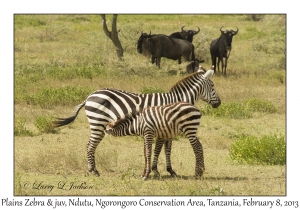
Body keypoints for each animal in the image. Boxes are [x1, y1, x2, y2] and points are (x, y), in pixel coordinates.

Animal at [52, 68, 220, 176]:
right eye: (212, 86)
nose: (219, 103)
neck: (175, 101)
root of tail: (89, 96)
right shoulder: (161, 128)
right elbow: (159, 149)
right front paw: (157, 171)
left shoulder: (167, 128)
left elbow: (166, 149)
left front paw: (169, 170)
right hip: (97, 123)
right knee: (90, 145)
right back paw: (93, 171)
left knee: (90, 145)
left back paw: (93, 169)